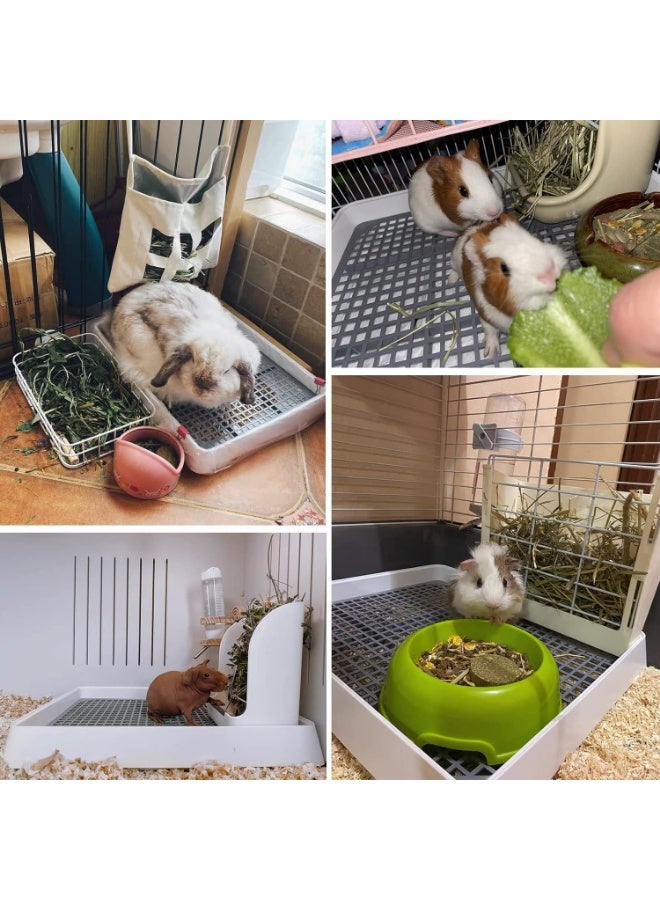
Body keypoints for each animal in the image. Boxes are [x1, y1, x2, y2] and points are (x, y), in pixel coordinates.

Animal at [449, 212, 568, 360]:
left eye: (535, 239)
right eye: (504, 268)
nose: (551, 275)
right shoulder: (485, 316)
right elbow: (490, 332)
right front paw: (491, 354)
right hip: (454, 261)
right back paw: (450, 280)